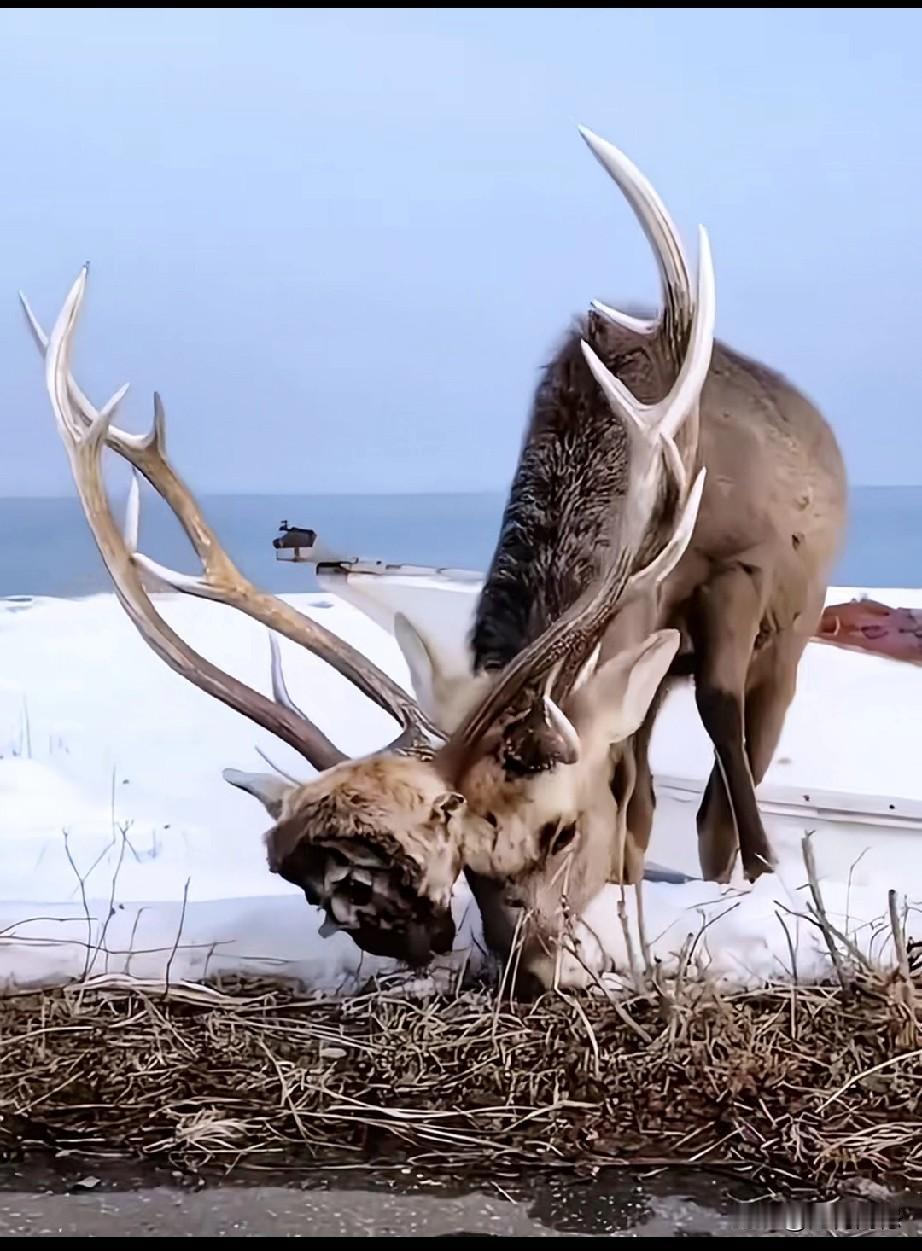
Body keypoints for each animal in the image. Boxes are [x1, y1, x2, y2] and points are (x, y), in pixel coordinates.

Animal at [396, 127, 849, 890]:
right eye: (465, 860)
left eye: (558, 829)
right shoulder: (643, 638)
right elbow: (635, 784)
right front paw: (627, 881)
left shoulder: (739, 567)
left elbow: (719, 713)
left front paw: (765, 866)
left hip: (795, 629)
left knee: (741, 755)